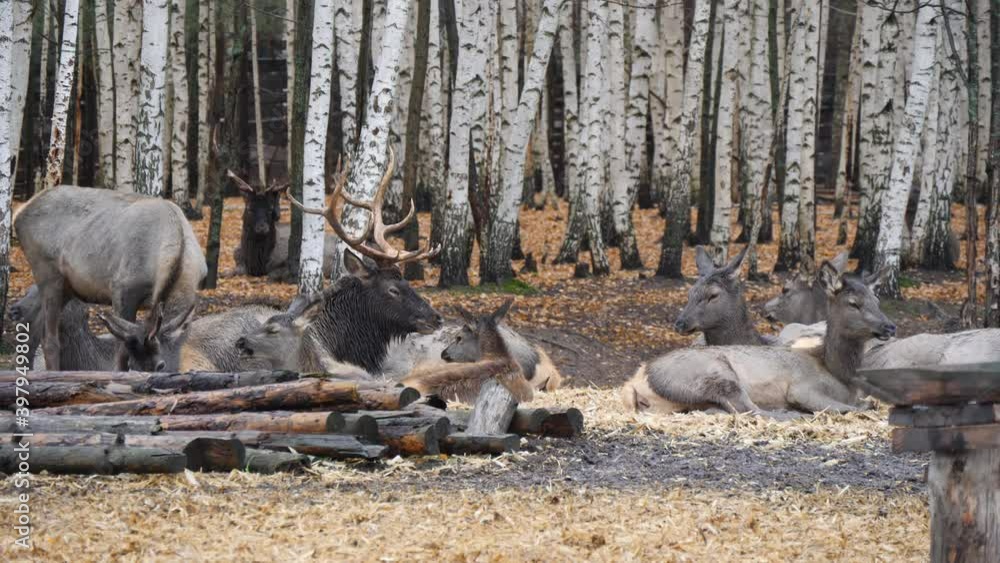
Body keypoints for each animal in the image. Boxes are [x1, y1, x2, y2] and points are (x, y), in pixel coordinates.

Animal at [13, 185, 207, 371]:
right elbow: (120, 354)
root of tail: (19, 214)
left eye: (161, 366)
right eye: (133, 366)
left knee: (32, 333)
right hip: (47, 272)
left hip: (67, 286)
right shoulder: (123, 289)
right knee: (49, 339)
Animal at [621, 259, 896, 415]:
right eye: (854, 303)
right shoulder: (803, 387)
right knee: (748, 408)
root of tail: (637, 382)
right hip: (712, 374)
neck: (840, 376)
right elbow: (851, 409)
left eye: (876, 300)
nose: (890, 326)